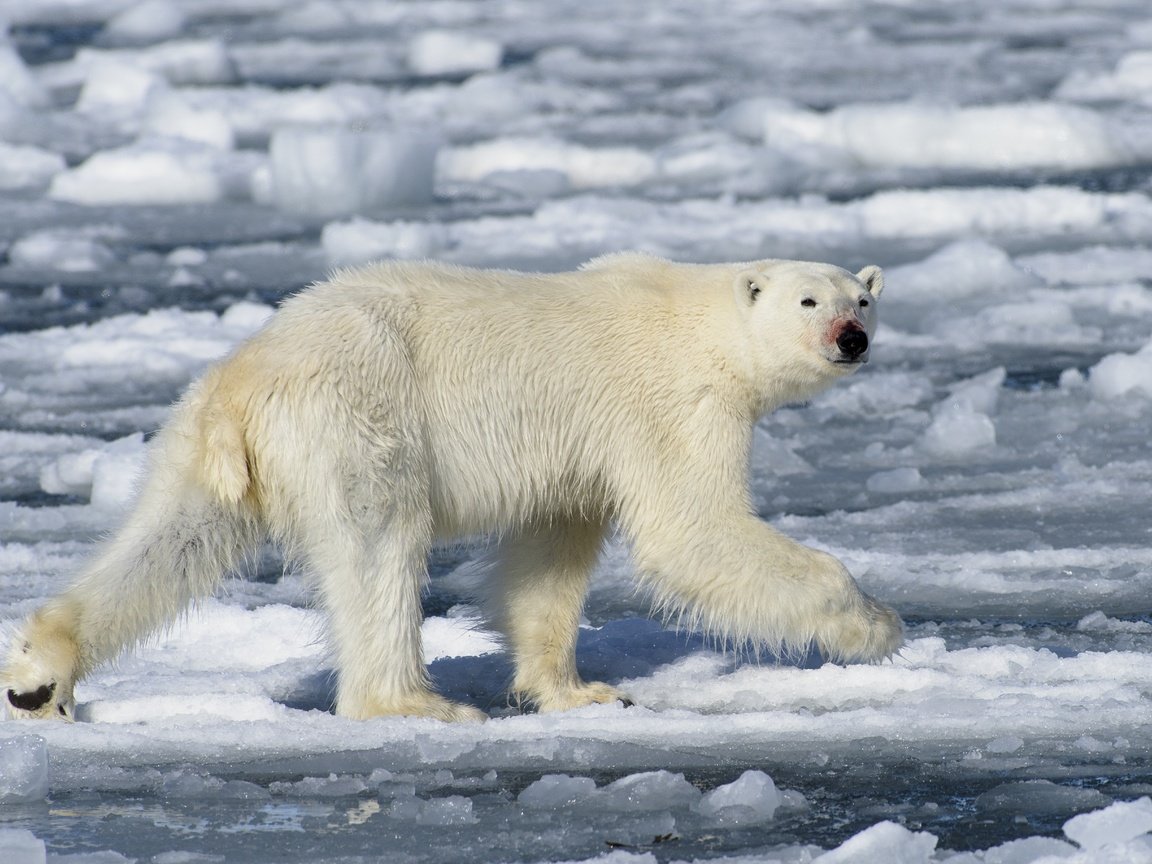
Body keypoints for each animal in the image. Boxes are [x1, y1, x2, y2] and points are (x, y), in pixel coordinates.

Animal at [2, 252, 898, 723]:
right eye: (810, 299)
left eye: (862, 300)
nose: (850, 337)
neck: (699, 318)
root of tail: (246, 375)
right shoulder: (675, 404)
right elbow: (692, 530)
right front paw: (875, 625)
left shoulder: (580, 451)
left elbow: (551, 554)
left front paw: (575, 689)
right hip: (359, 416)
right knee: (378, 544)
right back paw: (413, 702)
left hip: (206, 447)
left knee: (171, 541)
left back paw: (41, 674)